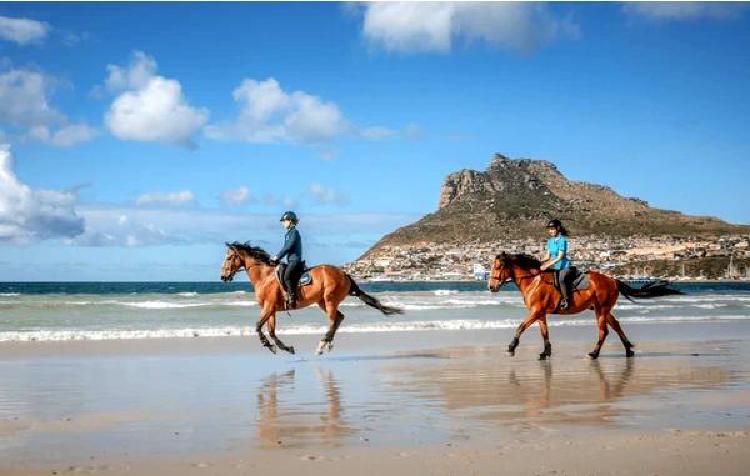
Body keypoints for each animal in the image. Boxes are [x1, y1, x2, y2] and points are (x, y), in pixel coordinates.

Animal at [220, 244, 402, 356]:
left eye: (229, 258)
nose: (223, 276)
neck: (264, 276)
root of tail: (344, 274)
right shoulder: (270, 309)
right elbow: (271, 331)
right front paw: (286, 348)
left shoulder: (269, 307)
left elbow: (258, 326)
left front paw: (268, 345)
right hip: (322, 301)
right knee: (339, 318)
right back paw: (327, 343)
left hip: (329, 299)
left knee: (334, 319)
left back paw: (322, 345)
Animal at [490, 253, 636, 360]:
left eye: (498, 267)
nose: (491, 287)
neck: (534, 281)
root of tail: (613, 280)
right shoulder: (540, 313)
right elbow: (544, 332)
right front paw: (546, 352)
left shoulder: (536, 311)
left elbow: (521, 327)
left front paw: (511, 347)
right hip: (602, 309)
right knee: (616, 325)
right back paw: (628, 349)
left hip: (601, 310)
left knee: (603, 331)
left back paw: (594, 353)